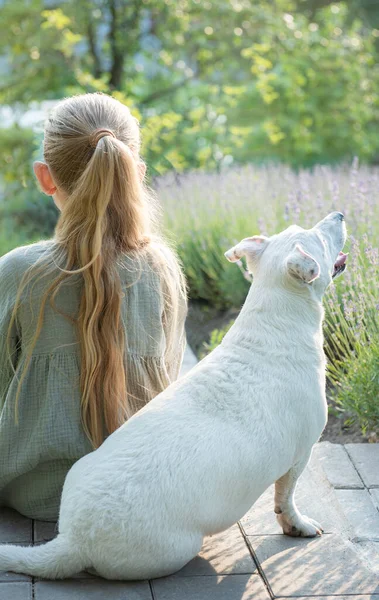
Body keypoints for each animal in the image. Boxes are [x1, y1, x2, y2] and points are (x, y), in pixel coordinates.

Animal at [0, 212, 348, 580]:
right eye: (319, 240)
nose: (339, 215)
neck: (275, 325)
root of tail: (73, 540)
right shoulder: (301, 454)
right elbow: (287, 498)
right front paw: (297, 525)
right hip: (178, 548)